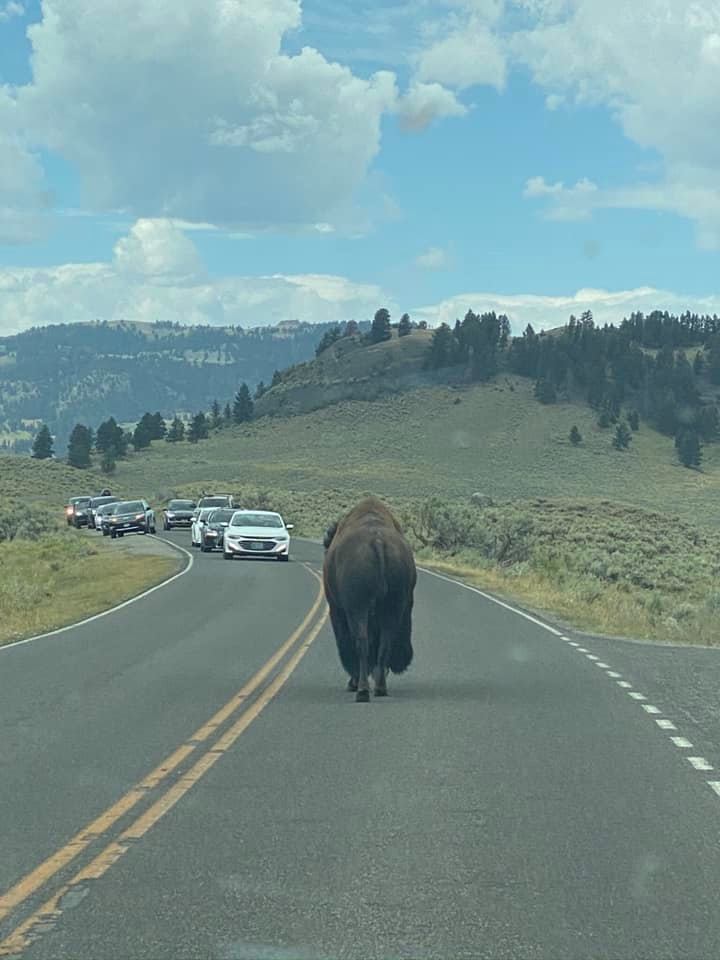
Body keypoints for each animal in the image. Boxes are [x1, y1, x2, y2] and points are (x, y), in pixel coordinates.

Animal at [322, 498, 416, 700]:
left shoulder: (337, 610)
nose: (404, 660)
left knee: (361, 643)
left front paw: (353, 683)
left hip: (357, 609)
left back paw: (362, 690)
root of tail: (377, 541)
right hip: (392, 607)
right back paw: (380, 688)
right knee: (384, 643)